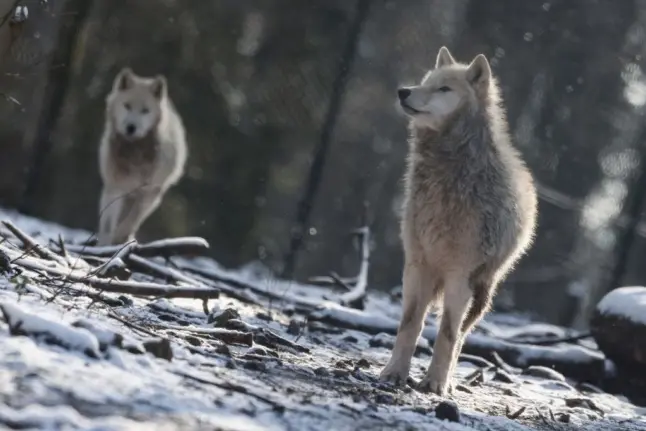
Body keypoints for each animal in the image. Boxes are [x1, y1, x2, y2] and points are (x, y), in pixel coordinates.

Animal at [97, 67, 187, 246]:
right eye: (127, 106)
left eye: (145, 110)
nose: (131, 127)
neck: (135, 152)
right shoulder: (115, 188)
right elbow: (108, 223)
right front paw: (105, 243)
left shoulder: (148, 194)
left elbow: (130, 222)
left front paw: (120, 238)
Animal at [379, 47, 538, 396]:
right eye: (426, 82)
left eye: (444, 89)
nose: (403, 91)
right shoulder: (417, 266)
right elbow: (409, 325)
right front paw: (394, 373)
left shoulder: (459, 275)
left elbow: (447, 334)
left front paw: (435, 384)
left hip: (482, 291)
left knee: (462, 335)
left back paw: (448, 380)